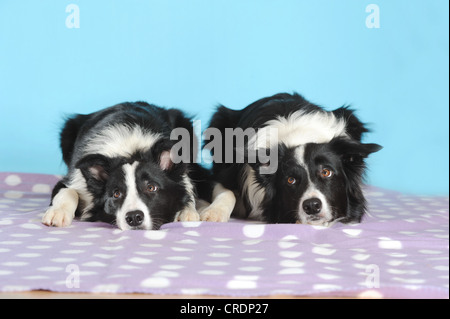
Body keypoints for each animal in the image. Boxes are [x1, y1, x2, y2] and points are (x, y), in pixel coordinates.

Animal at [42, 102, 229, 230]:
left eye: (151, 187)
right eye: (116, 194)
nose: (133, 218)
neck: (131, 152)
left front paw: (187, 210)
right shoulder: (71, 180)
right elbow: (68, 191)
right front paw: (58, 212)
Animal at [206, 92, 382, 228]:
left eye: (326, 172)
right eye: (291, 180)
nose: (312, 206)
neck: (298, 136)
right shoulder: (223, 176)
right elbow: (227, 191)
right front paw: (214, 212)